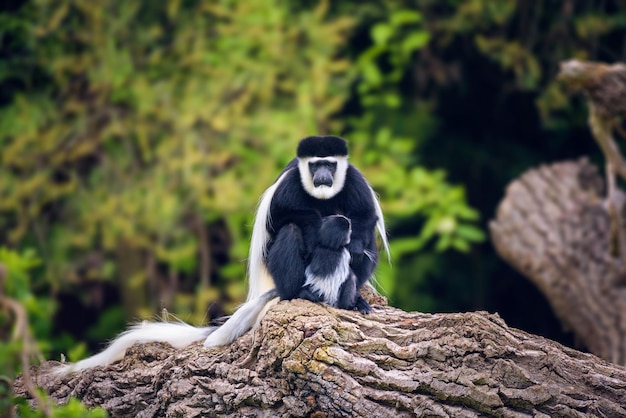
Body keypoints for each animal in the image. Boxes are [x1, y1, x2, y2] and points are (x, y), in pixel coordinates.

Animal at [59, 136, 390, 372]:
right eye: (314, 165)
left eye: (330, 165)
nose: (322, 175)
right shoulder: (289, 185)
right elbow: (283, 217)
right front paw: (319, 235)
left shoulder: (354, 180)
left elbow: (365, 218)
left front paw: (346, 247)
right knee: (290, 231)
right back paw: (299, 291)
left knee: (366, 245)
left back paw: (355, 298)